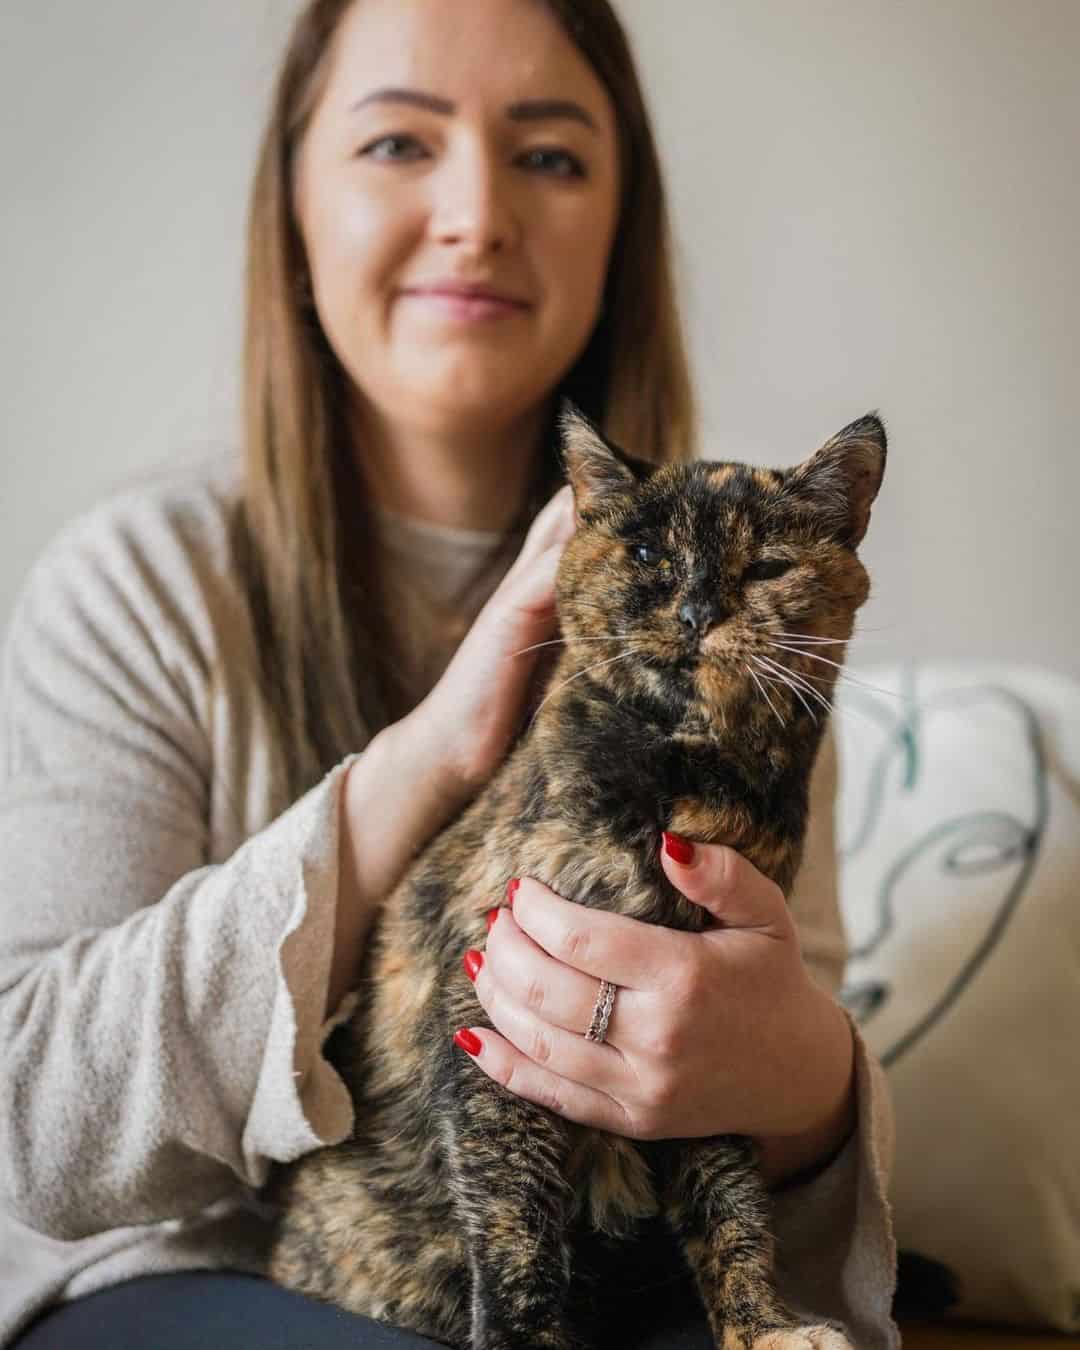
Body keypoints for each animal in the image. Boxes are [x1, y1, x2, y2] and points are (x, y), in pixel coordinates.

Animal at [267, 405, 885, 1344]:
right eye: (648, 554)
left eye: (768, 568)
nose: (697, 610)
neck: (689, 792)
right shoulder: (485, 1008)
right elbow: (515, 1217)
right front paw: (527, 1338)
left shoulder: (715, 1052)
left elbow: (731, 1201)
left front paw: (764, 1324)